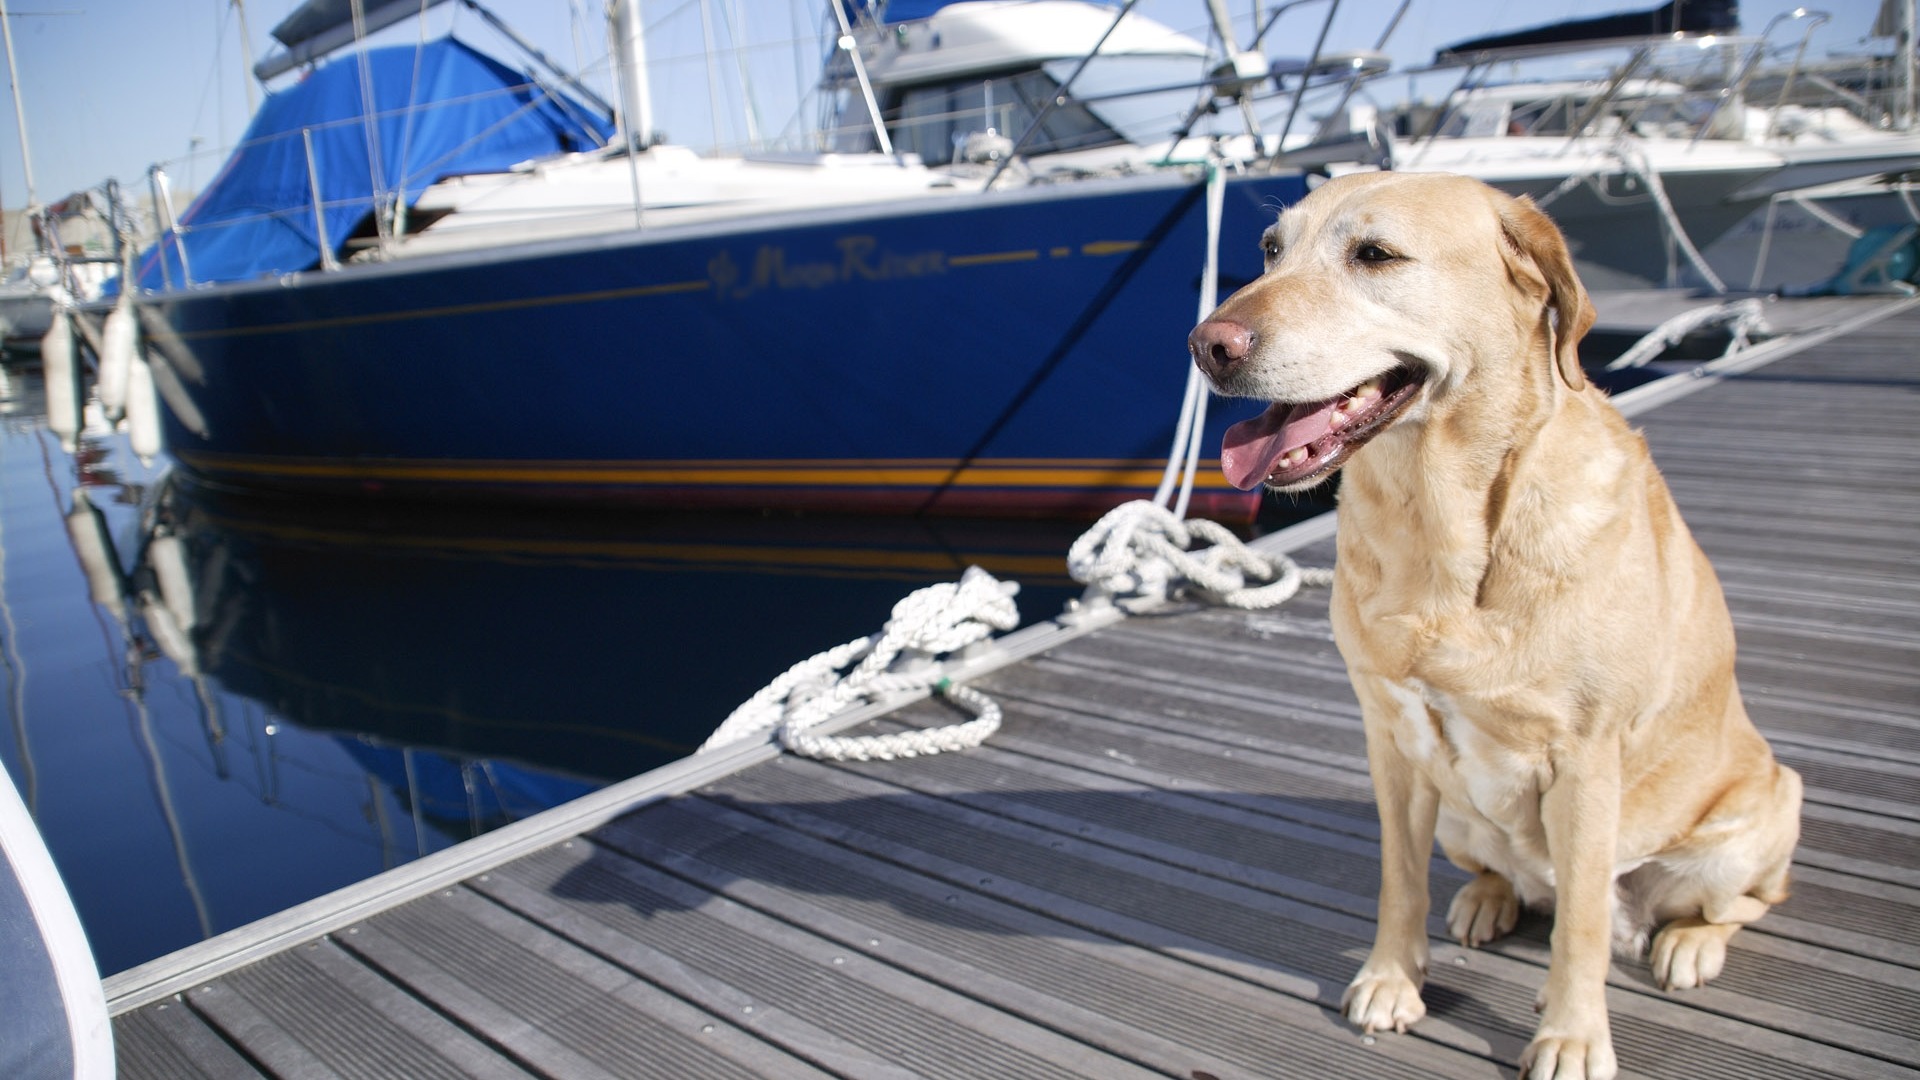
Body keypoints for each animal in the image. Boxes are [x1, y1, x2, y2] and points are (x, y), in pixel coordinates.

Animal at [1182, 171, 1797, 1068]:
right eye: (1269, 249)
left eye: (1376, 255)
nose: (1207, 344)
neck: (1444, 530)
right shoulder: (1392, 740)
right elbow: (1398, 880)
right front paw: (1391, 979)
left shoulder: (1586, 761)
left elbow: (1580, 928)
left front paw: (1572, 1036)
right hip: (1462, 820)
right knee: (1510, 876)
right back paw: (1489, 900)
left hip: (1758, 817)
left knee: (1733, 903)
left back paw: (1687, 943)